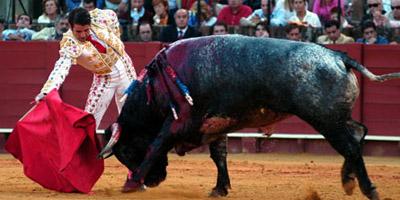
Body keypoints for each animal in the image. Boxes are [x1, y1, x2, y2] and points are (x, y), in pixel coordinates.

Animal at [99, 35, 400, 199]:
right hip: (336, 117)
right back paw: (348, 182)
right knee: (358, 134)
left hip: (326, 120)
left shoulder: (179, 121)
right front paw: (219, 189)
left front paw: (130, 183)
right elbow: (219, 156)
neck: (156, 87)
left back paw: (367, 188)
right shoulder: (215, 124)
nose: (152, 182)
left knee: (350, 146)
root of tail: (339, 57)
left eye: (126, 151)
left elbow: (156, 145)